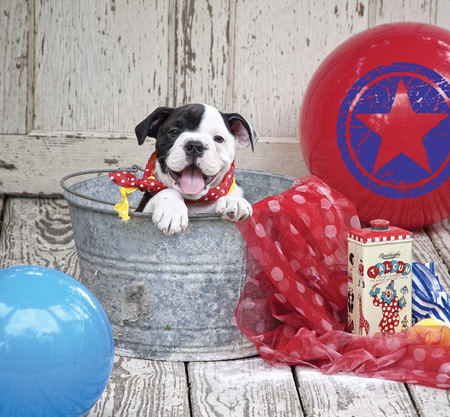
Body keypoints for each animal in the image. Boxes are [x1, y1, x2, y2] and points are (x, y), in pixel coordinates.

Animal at [134, 103, 256, 234]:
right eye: (173, 132)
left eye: (219, 139)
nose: (195, 146)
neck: (195, 200)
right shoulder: (142, 209)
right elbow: (169, 191)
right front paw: (171, 210)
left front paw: (234, 200)